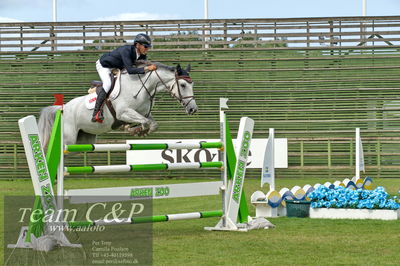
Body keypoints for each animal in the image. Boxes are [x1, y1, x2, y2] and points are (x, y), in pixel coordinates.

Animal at [38, 62, 198, 150]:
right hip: (68, 138)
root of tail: (62, 108)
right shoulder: (123, 113)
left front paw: (138, 131)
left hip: (83, 138)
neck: (141, 87)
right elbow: (145, 122)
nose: (193, 109)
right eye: (183, 85)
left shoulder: (143, 113)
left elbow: (152, 124)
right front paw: (134, 130)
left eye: (191, 84)